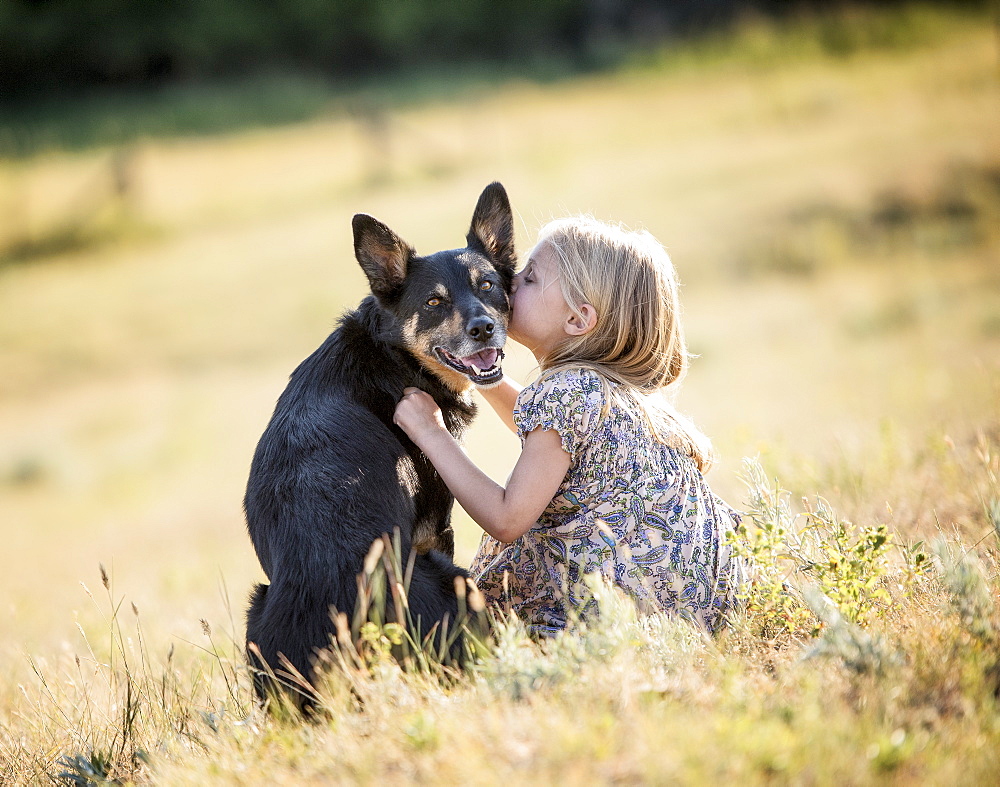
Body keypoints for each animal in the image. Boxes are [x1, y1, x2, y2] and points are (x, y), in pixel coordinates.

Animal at [243, 182, 516, 704]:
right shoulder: (435, 526)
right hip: (453, 582)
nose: (483, 329)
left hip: (257, 606)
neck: (392, 355)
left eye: (488, 285)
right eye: (433, 303)